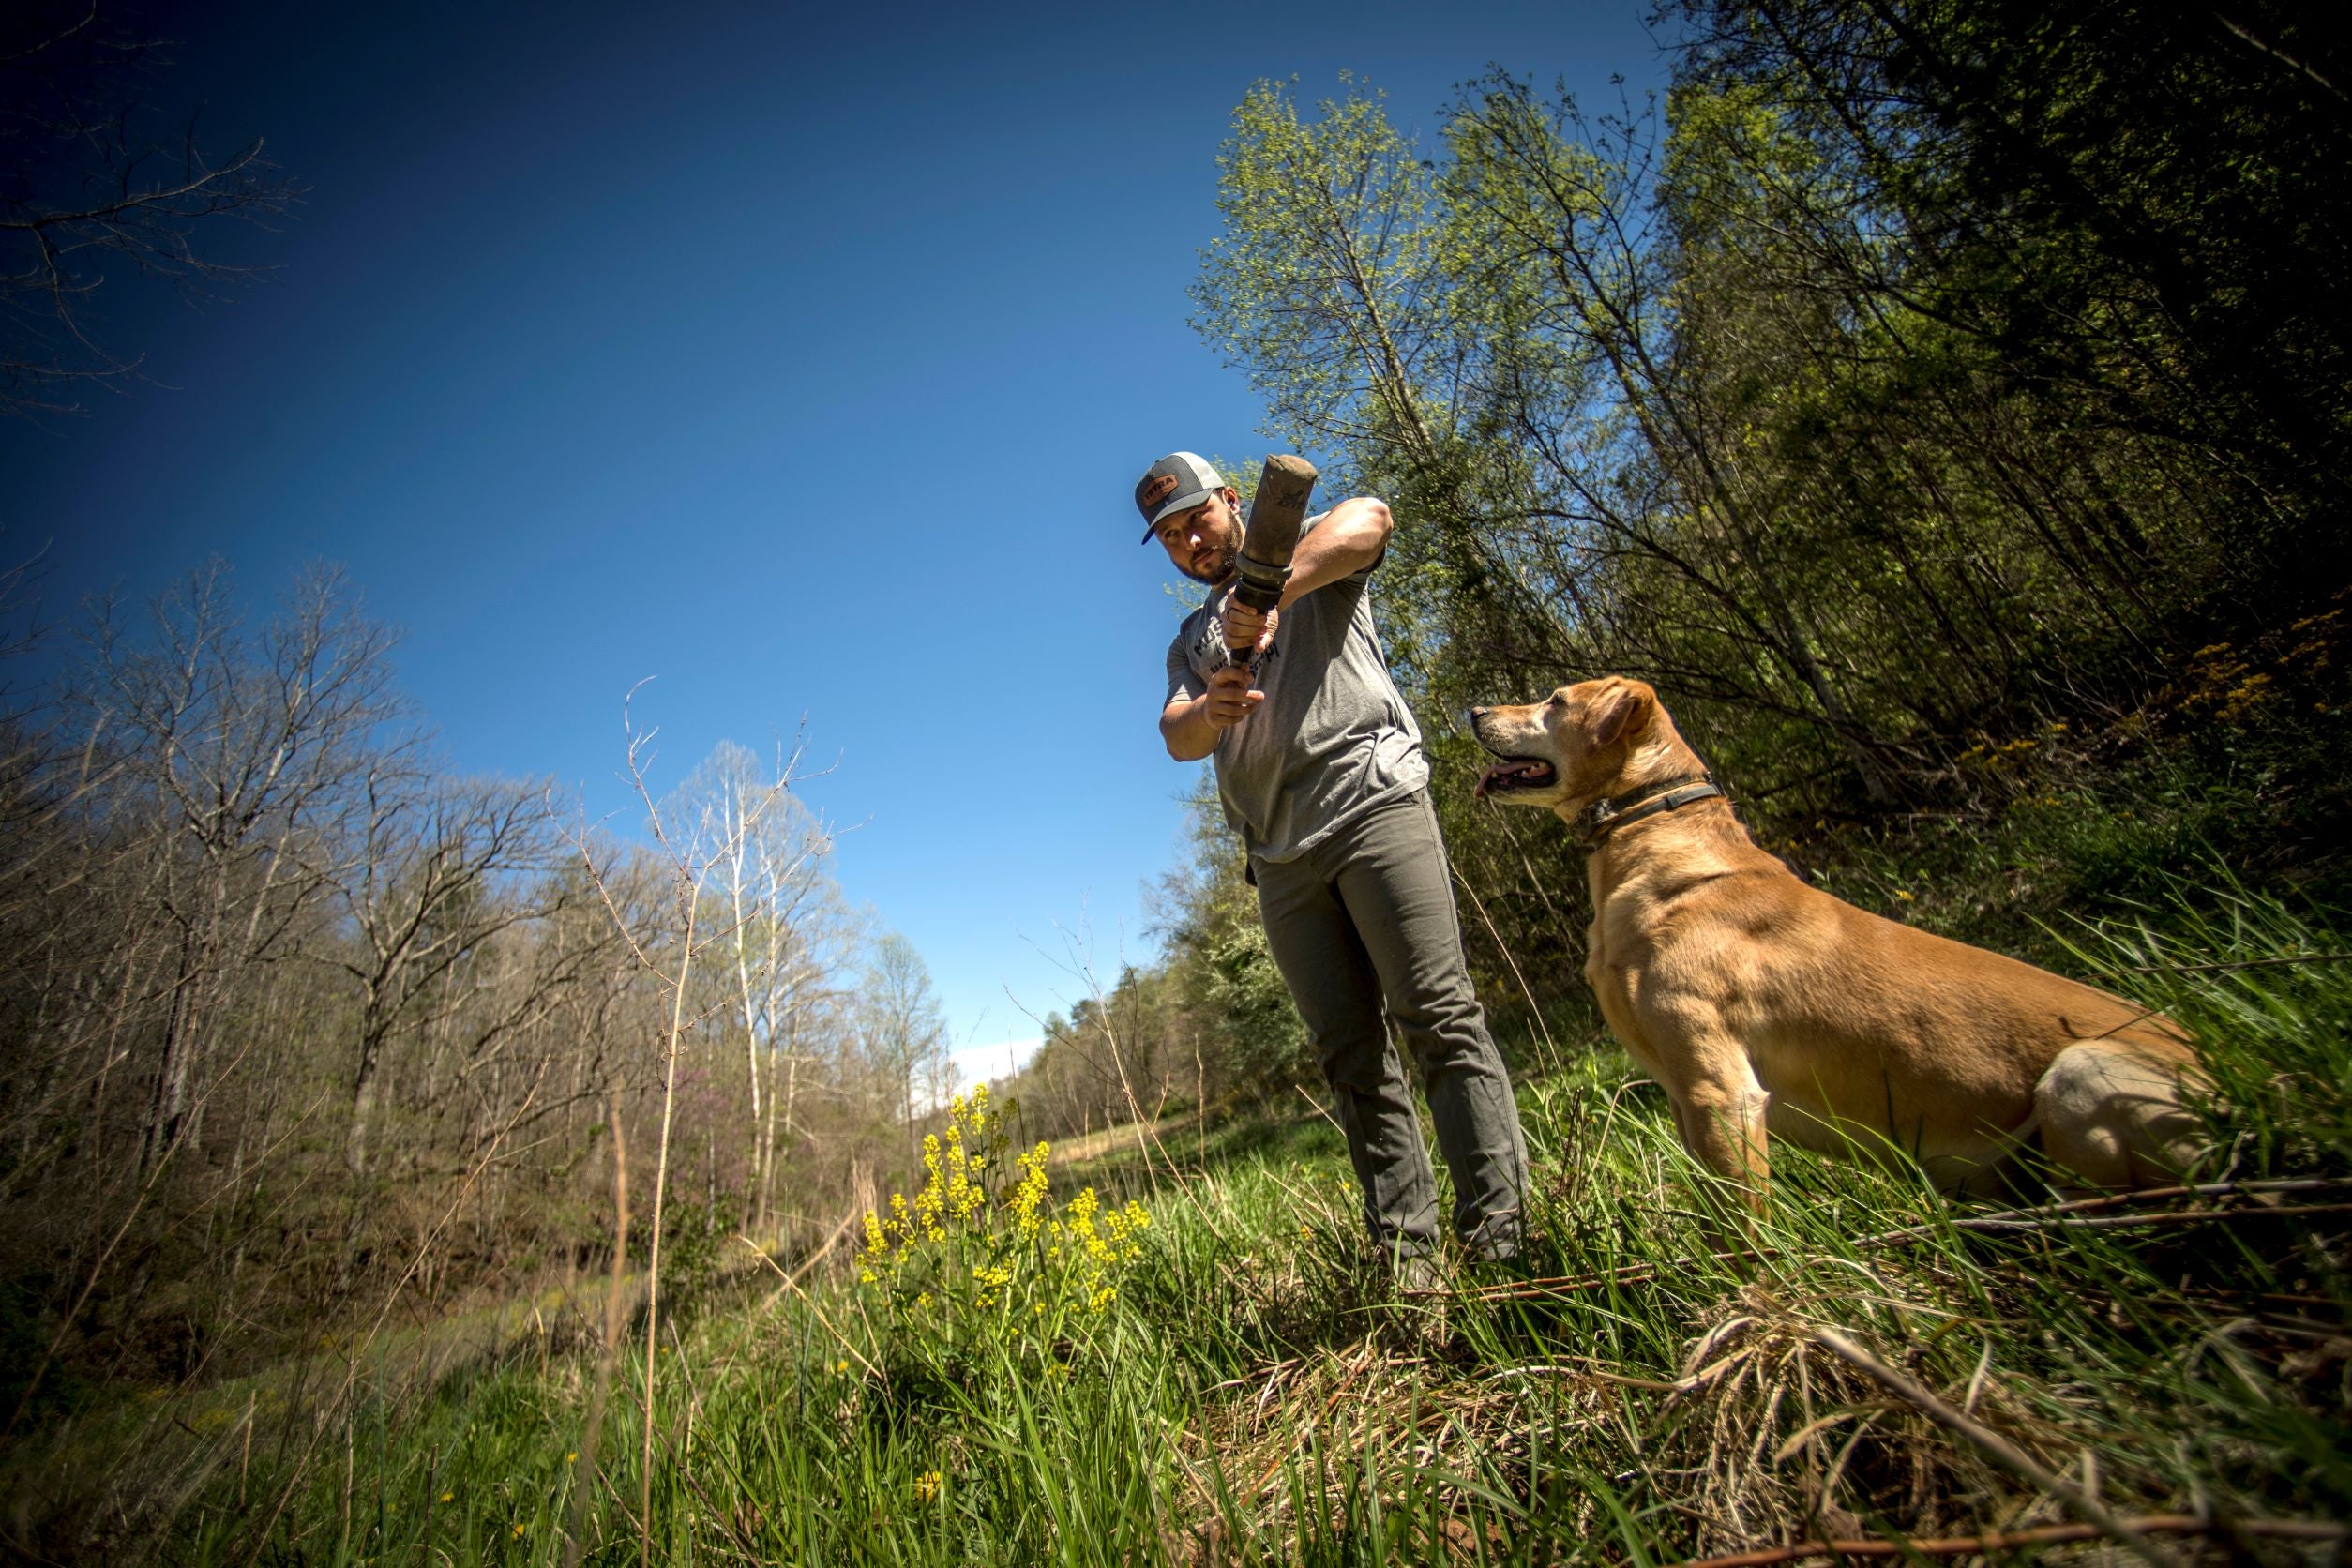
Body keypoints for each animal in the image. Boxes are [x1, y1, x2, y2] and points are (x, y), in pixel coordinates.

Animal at [1467, 676, 2201, 1203]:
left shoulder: (1719, 1090)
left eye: (1555, 701)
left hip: (2082, 1075)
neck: (1650, 833)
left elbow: (1746, 1238)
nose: (1473, 709)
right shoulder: (1681, 1095)